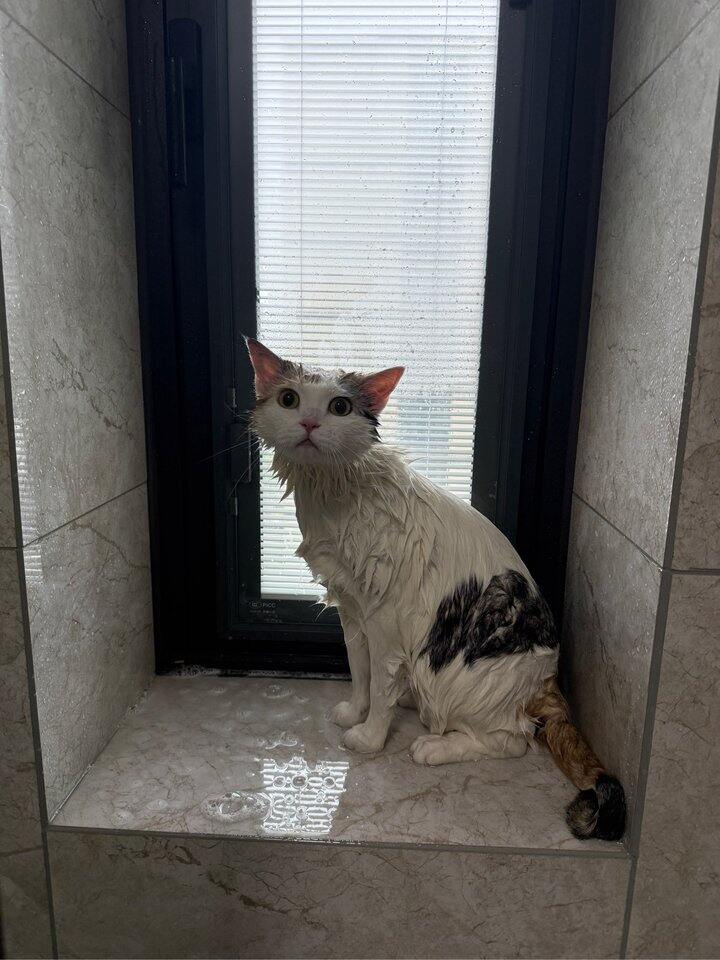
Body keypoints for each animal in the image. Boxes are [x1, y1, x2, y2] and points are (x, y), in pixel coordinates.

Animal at [246, 337, 626, 842]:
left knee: (511, 741)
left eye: (339, 407)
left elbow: (381, 685)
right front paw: (356, 710)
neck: (333, 495)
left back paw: (435, 746)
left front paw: (370, 737)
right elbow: (361, 672)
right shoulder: (353, 612)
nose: (309, 423)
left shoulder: (386, 623)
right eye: (289, 400)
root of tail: (547, 679)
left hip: (451, 673)